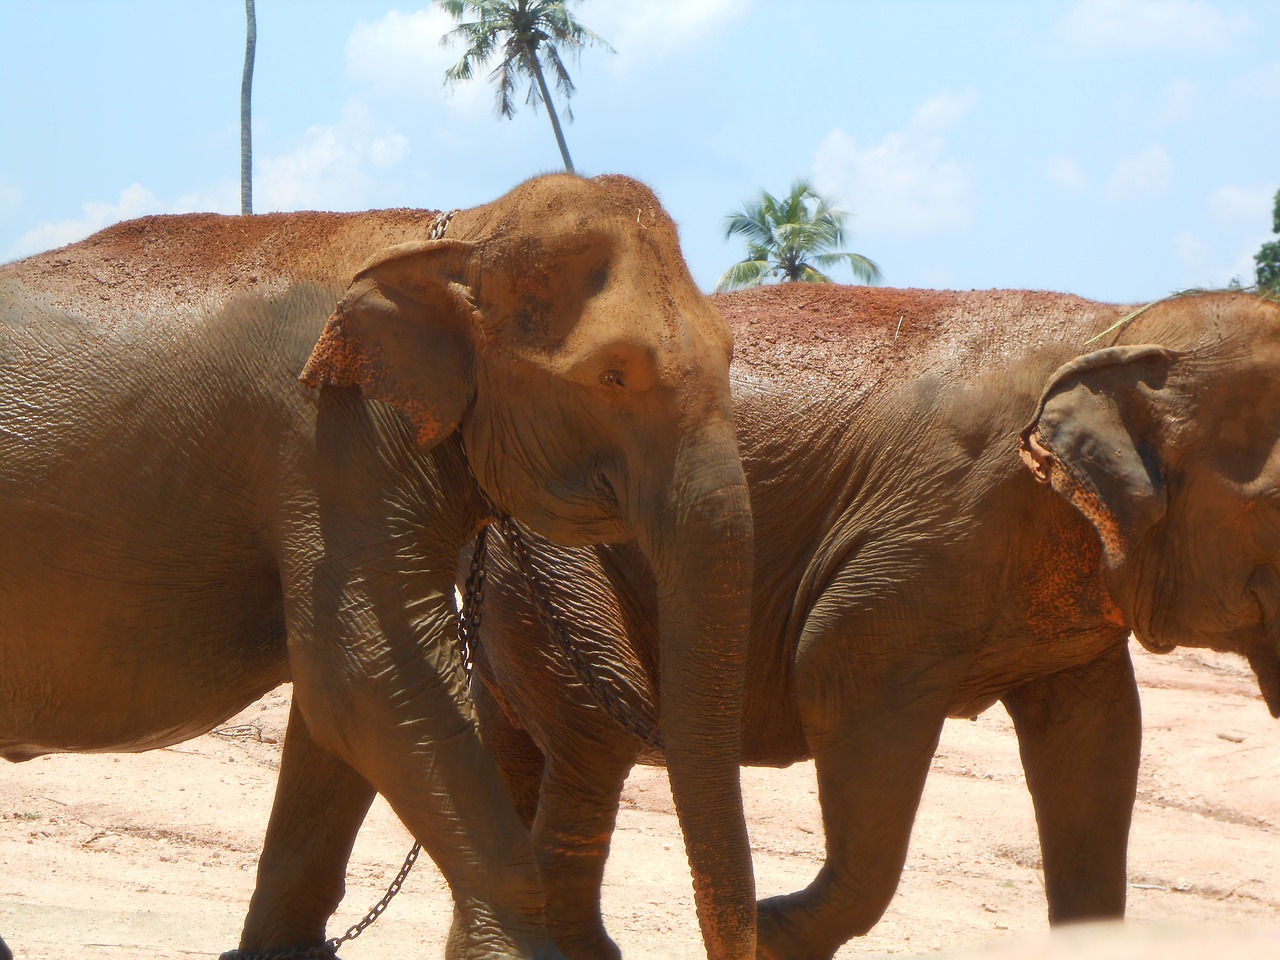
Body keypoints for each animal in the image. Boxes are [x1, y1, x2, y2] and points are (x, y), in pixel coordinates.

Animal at [0, 172, 752, 960]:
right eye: (613, 376)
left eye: (732, 355)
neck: (459, 233)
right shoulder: (332, 445)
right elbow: (367, 681)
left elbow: (345, 711)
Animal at [465, 281, 1280, 957]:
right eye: (1276, 507)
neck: (1119, 323)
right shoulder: (943, 524)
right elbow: (839, 662)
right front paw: (771, 933)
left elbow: (1096, 737)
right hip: (556, 550)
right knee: (590, 747)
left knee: (518, 755)